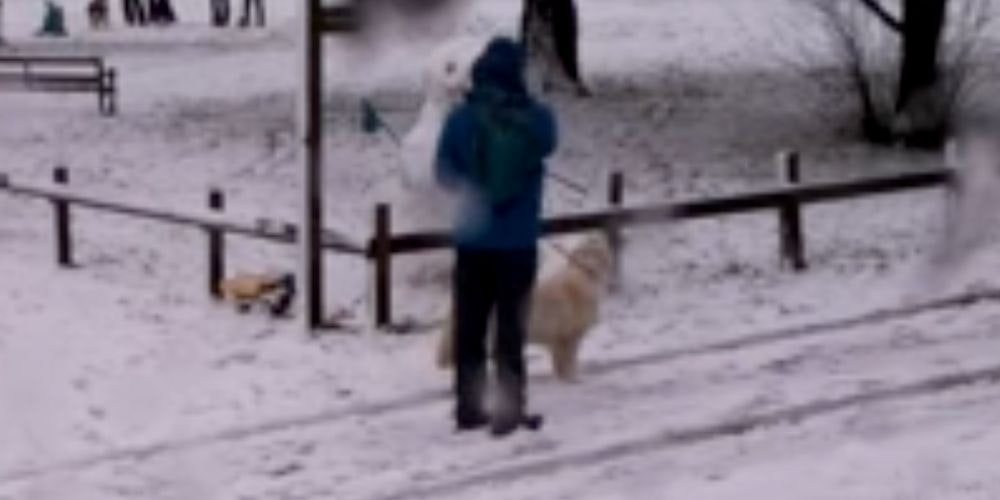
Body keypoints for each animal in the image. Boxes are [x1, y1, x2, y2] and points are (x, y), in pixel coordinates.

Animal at [438, 232, 616, 380]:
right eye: (589, 247)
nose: (597, 235)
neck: (584, 277)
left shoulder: (559, 338)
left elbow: (560, 361)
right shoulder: (567, 335)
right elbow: (567, 359)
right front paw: (571, 377)